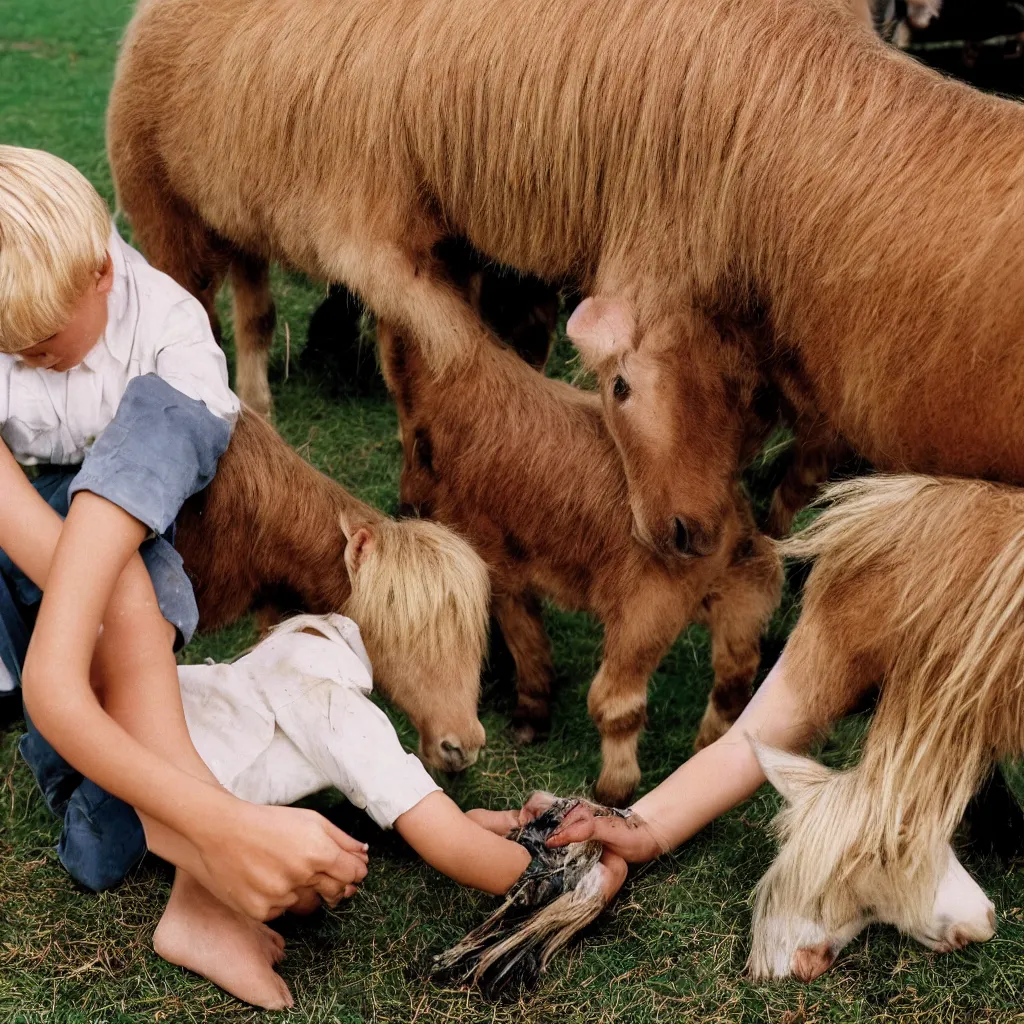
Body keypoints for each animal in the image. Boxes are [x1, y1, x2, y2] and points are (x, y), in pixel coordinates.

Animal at [380, 323, 778, 802]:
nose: (402, 508)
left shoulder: (492, 557)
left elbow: (522, 630)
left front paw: (529, 719)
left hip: (646, 613)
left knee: (618, 702)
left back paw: (610, 792)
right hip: (745, 596)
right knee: (735, 680)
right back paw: (700, 756)